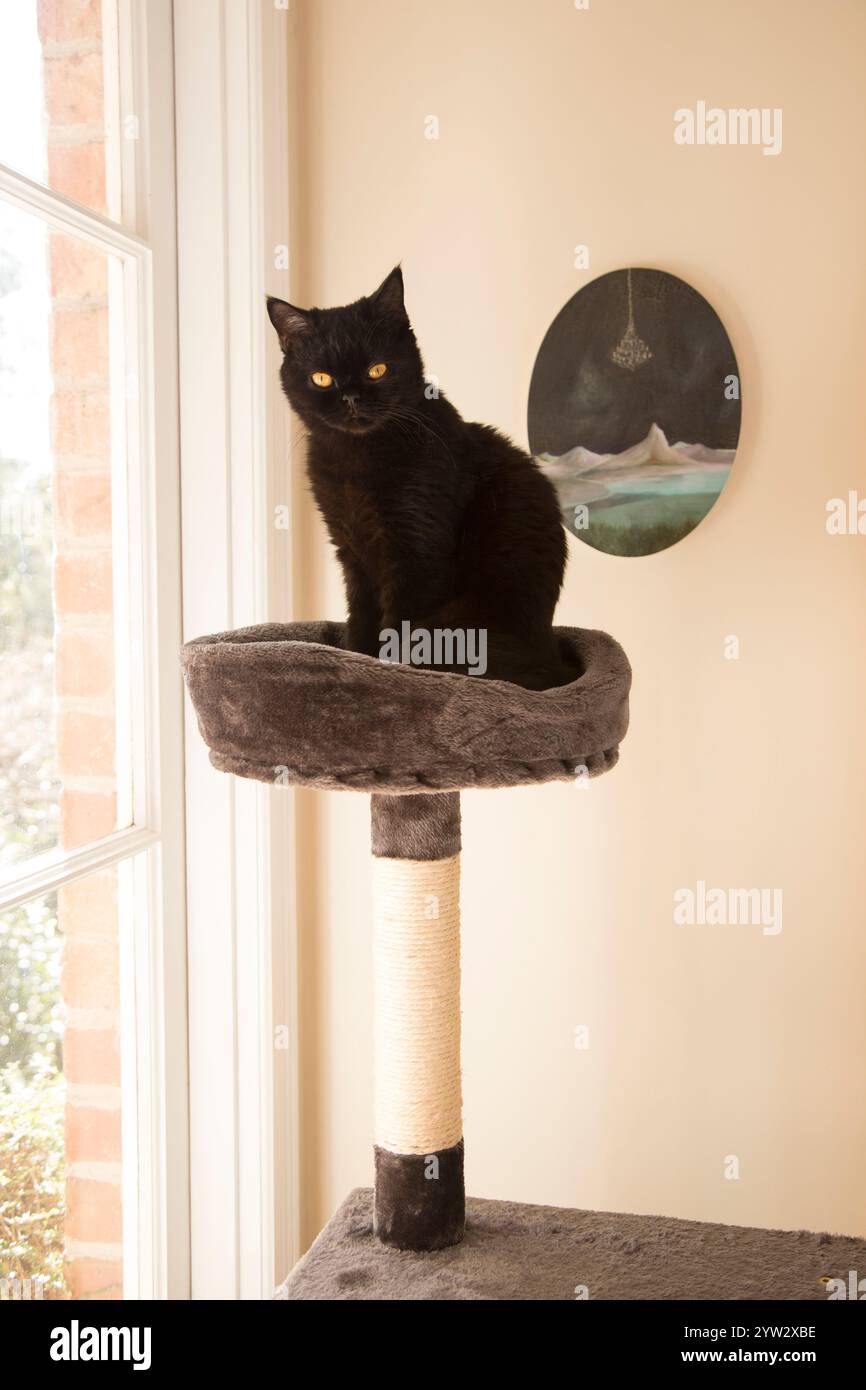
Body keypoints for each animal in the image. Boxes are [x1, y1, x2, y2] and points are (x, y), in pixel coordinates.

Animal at [268, 265, 578, 689]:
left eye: (377, 370)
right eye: (322, 379)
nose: (351, 398)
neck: (355, 463)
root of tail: (553, 661)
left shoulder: (417, 555)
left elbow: (398, 628)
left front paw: (391, 675)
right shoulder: (352, 553)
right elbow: (361, 618)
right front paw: (355, 659)